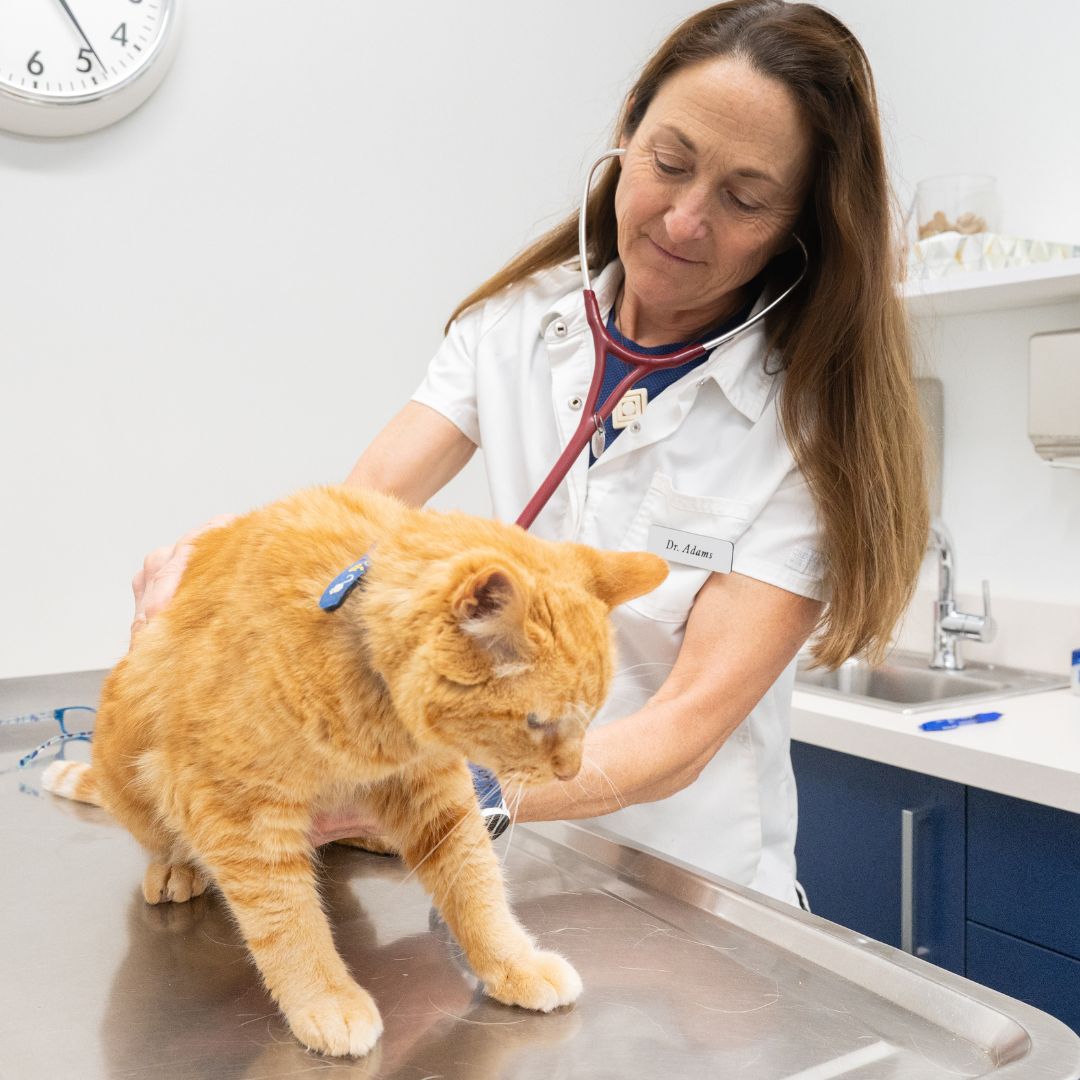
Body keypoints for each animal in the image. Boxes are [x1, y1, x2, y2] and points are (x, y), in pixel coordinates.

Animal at [44, 488, 665, 1054]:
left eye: (593, 714)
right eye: (538, 720)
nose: (571, 772)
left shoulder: (438, 798)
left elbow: (476, 886)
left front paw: (514, 962)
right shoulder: (237, 811)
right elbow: (287, 920)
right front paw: (325, 1000)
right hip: (130, 759)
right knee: (160, 837)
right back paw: (176, 867)